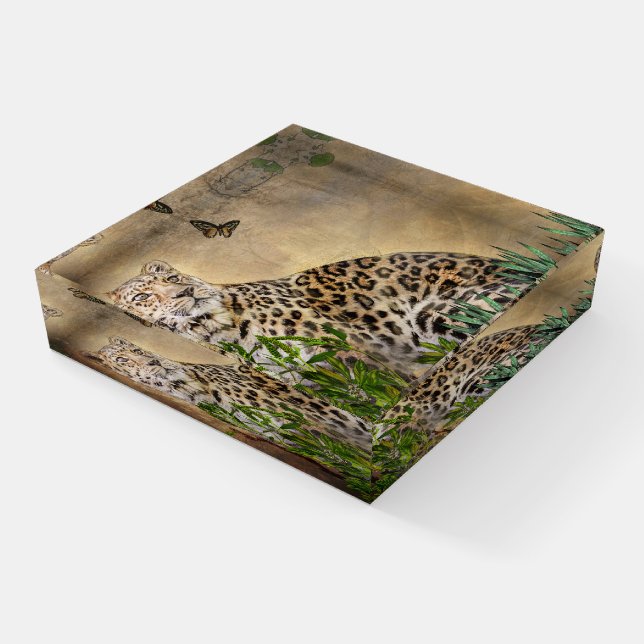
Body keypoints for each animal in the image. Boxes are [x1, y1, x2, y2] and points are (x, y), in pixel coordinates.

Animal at [106, 253, 530, 381]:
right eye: (143, 296)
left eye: (172, 279)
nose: (185, 293)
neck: (219, 331)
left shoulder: (359, 347)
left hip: (441, 311)